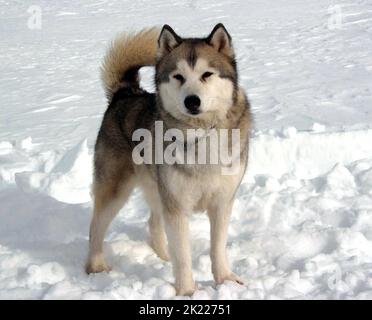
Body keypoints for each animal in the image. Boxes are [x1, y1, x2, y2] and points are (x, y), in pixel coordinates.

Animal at [85, 23, 251, 296]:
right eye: (178, 76)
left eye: (207, 74)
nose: (192, 100)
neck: (199, 134)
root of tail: (125, 93)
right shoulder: (177, 206)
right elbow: (183, 257)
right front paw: (187, 291)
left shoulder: (222, 201)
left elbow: (217, 247)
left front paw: (225, 280)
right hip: (115, 190)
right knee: (96, 227)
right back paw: (95, 267)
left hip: (157, 188)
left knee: (153, 223)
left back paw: (163, 258)